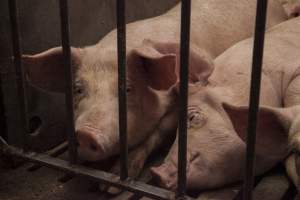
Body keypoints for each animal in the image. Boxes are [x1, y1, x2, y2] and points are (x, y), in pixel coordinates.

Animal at [22, 0, 286, 180]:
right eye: (78, 88)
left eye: (127, 88)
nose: (86, 134)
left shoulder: (178, 104)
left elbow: (158, 133)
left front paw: (112, 184)